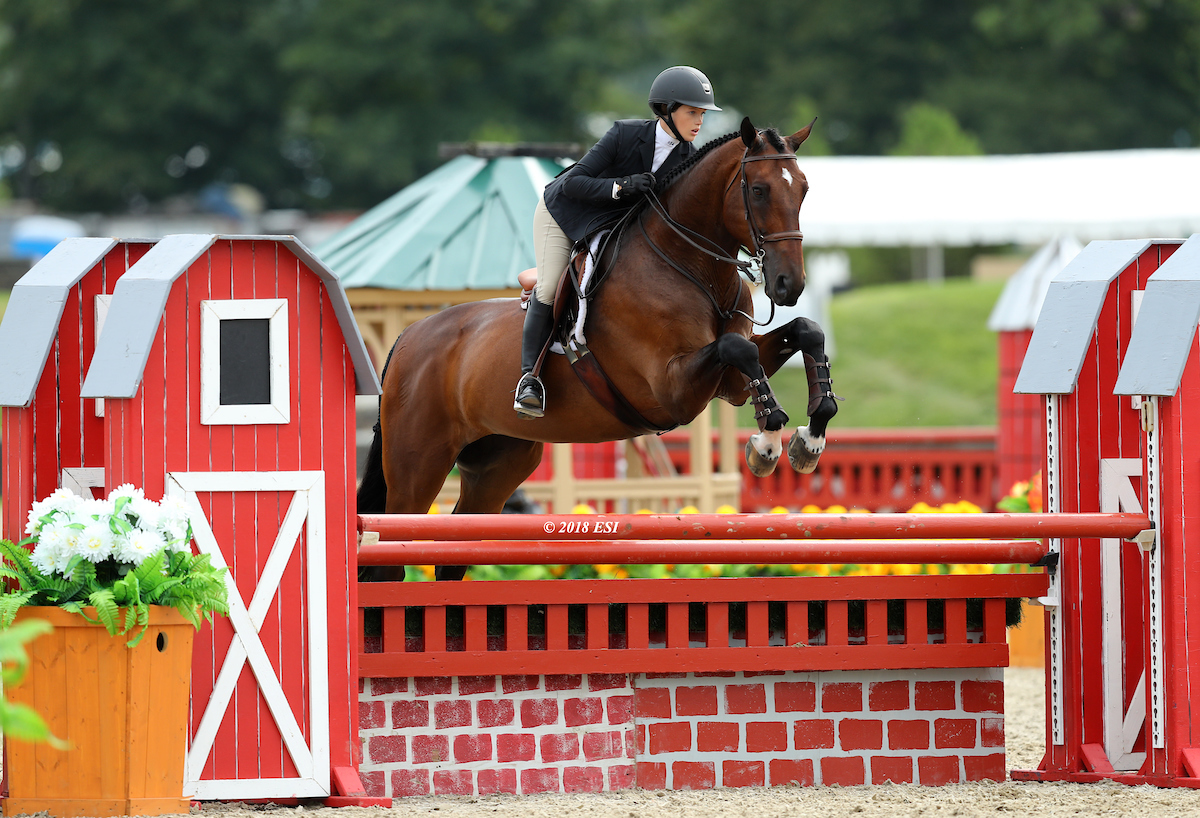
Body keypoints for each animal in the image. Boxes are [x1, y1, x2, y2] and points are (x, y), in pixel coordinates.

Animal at [360, 118, 840, 580]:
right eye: (758, 190)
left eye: (803, 189)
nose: (789, 285)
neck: (690, 266)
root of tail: (405, 339)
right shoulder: (672, 389)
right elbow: (738, 348)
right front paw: (767, 443)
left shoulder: (729, 386)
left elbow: (803, 332)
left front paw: (810, 438)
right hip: (418, 465)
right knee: (391, 554)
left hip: (497, 463)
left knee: (452, 555)